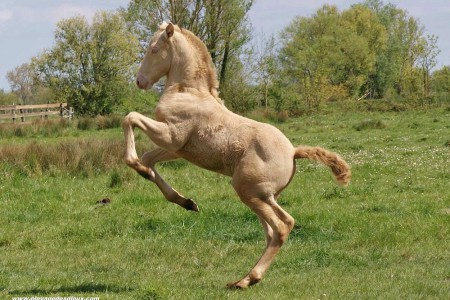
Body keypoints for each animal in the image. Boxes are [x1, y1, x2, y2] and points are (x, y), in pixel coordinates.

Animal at [123, 22, 352, 290]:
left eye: (154, 49)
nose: (140, 81)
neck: (188, 92)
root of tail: (293, 151)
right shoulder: (176, 148)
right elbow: (148, 161)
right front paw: (187, 202)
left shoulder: (172, 136)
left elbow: (130, 119)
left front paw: (134, 162)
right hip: (264, 196)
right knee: (272, 232)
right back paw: (244, 279)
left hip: (248, 191)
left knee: (283, 225)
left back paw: (248, 279)